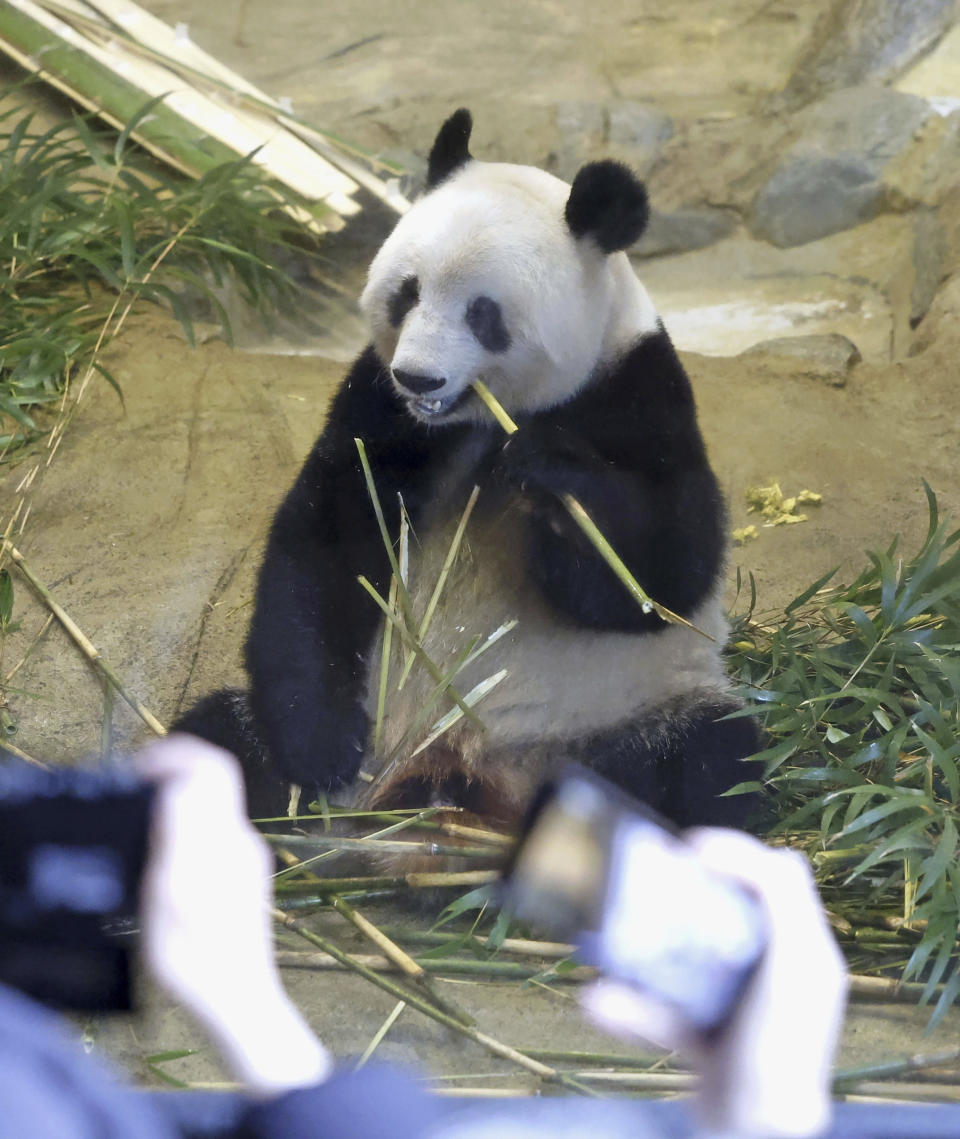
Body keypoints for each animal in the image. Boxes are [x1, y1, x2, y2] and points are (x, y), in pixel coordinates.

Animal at [178, 108, 756, 838]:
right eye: (407, 293)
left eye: (484, 313)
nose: (418, 378)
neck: (478, 420)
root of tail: (453, 776)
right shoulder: (376, 407)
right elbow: (327, 543)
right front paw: (321, 745)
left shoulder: (638, 391)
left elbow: (666, 571)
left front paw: (554, 476)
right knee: (217, 738)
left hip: (614, 716)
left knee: (709, 764)